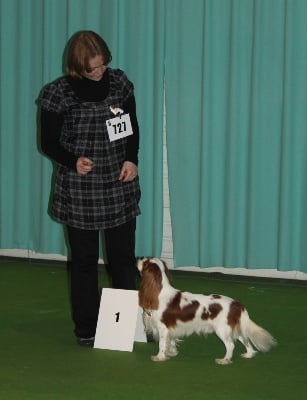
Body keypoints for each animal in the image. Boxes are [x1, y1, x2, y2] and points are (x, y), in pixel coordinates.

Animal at [138, 258, 278, 364]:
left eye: (145, 262)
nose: (139, 258)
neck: (159, 292)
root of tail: (236, 304)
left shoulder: (163, 327)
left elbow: (162, 344)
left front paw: (160, 357)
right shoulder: (171, 328)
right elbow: (171, 341)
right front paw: (172, 353)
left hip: (222, 330)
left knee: (230, 345)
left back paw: (224, 360)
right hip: (234, 328)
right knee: (245, 340)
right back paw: (248, 355)